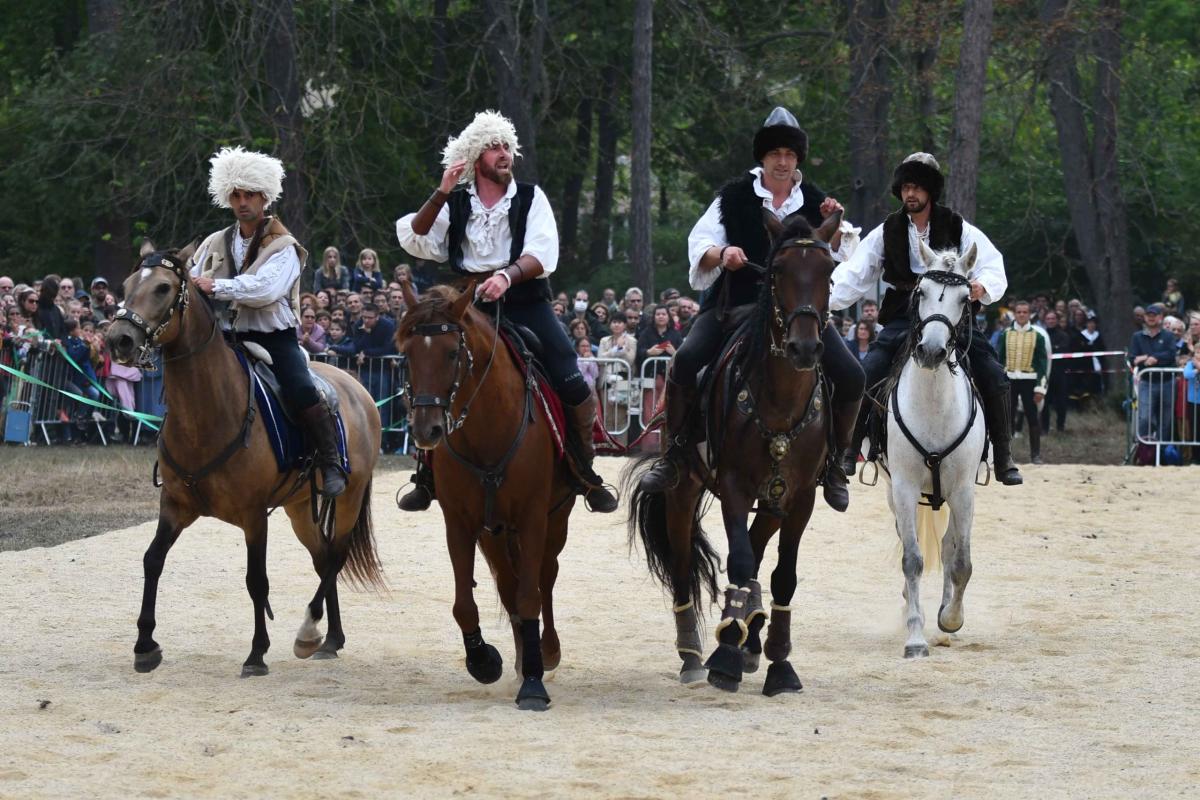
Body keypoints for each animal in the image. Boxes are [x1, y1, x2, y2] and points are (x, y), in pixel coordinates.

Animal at [106, 250, 384, 678]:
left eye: (163, 288)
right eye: (126, 285)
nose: (118, 338)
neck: (207, 413)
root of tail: (360, 391)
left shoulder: (254, 516)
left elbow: (257, 581)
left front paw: (256, 654)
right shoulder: (175, 506)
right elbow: (152, 560)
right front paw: (145, 645)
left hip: (349, 497)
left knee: (335, 557)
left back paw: (308, 633)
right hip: (299, 508)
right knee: (322, 558)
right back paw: (330, 639)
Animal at [394, 281, 576, 712]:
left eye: (452, 352)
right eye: (408, 354)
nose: (426, 429)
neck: (487, 429)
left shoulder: (532, 518)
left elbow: (530, 595)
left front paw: (533, 684)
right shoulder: (461, 523)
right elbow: (466, 603)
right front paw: (484, 660)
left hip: (554, 521)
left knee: (545, 578)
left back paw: (546, 652)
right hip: (494, 534)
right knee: (509, 586)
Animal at [626, 211, 843, 695]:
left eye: (829, 272)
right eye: (777, 271)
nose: (804, 347)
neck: (779, 403)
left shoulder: (799, 497)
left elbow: (782, 574)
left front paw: (778, 661)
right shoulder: (733, 488)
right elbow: (739, 561)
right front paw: (724, 653)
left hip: (773, 500)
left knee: (758, 553)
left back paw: (750, 632)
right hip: (683, 489)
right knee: (684, 564)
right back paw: (693, 653)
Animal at [873, 240, 987, 658]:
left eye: (964, 298)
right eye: (920, 292)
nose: (932, 352)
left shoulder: (964, 490)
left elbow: (961, 561)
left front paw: (950, 620)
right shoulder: (904, 488)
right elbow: (913, 559)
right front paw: (916, 637)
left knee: (951, 545)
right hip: (894, 493)